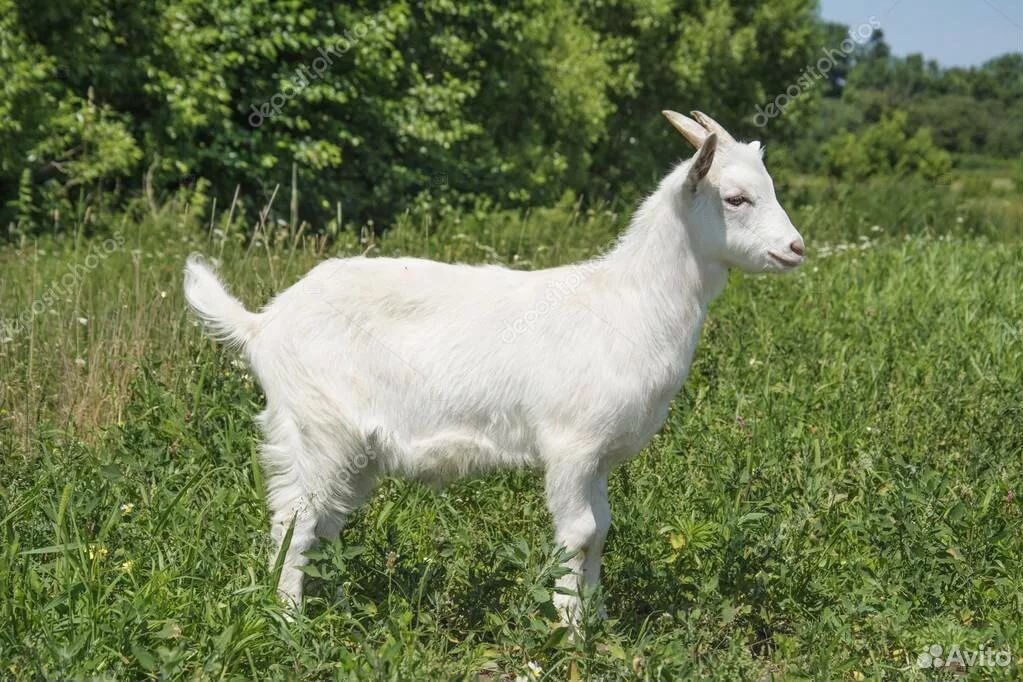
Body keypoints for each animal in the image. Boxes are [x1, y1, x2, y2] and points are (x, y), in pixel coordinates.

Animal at [183, 110, 805, 623]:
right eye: (735, 198)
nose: (796, 248)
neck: (627, 301)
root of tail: (263, 324)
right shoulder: (571, 444)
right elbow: (579, 532)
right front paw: (569, 628)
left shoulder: (600, 454)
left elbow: (603, 530)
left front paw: (600, 619)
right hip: (313, 425)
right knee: (296, 519)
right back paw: (290, 622)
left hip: (354, 449)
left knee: (330, 520)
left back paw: (338, 608)